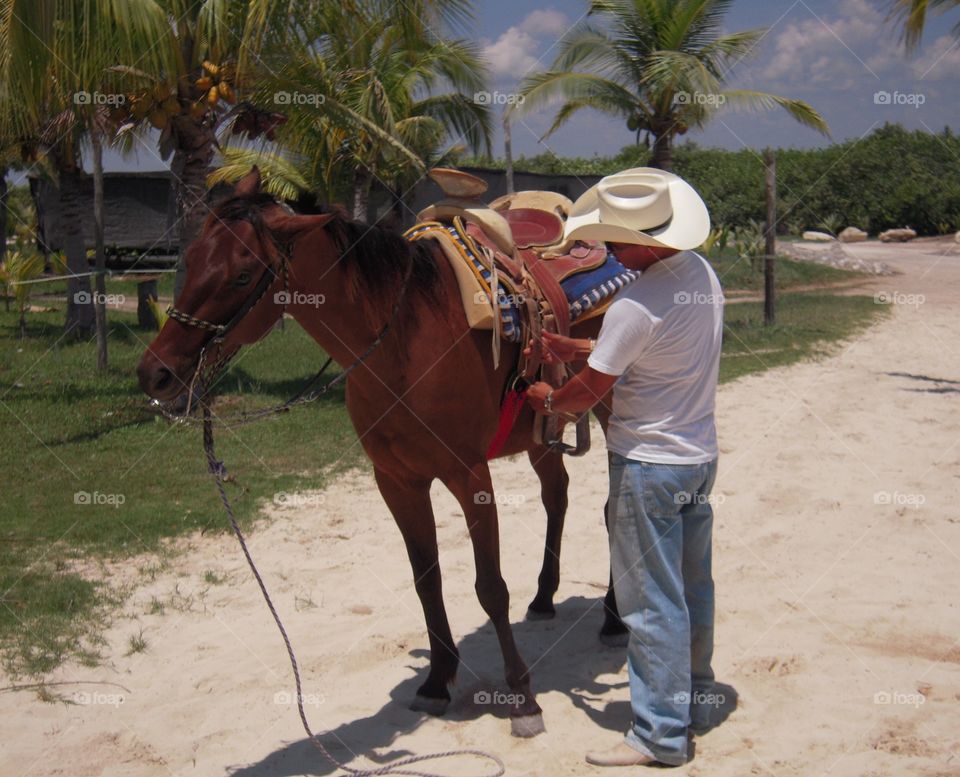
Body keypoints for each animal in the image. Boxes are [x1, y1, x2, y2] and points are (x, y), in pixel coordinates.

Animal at [135, 167, 620, 736]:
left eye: (241, 275)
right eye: (189, 260)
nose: (156, 373)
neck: (402, 341)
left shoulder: (469, 475)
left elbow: (490, 587)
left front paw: (522, 696)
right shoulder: (396, 481)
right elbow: (426, 581)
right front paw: (437, 681)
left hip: (615, 409)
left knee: (616, 510)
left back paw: (614, 617)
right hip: (543, 433)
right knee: (557, 496)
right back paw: (545, 597)